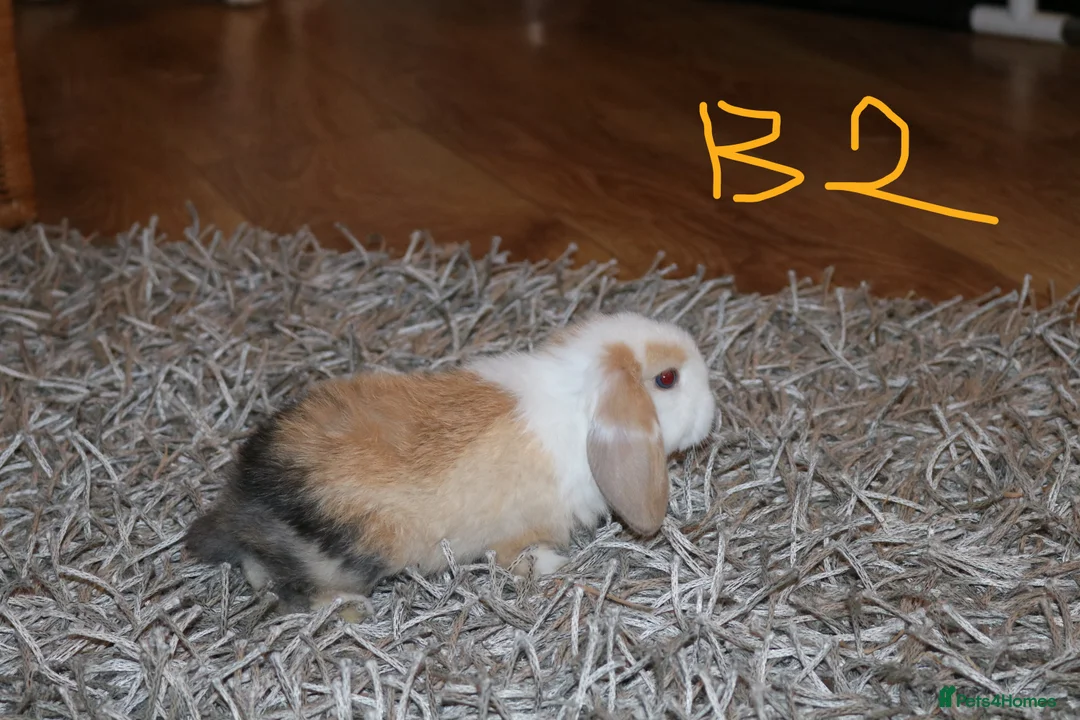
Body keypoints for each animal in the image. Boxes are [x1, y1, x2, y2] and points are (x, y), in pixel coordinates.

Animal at [183, 311, 717, 613]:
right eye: (666, 379)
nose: (712, 412)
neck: (580, 412)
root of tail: (245, 499)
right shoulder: (517, 532)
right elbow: (517, 556)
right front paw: (554, 565)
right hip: (348, 558)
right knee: (288, 588)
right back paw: (350, 611)